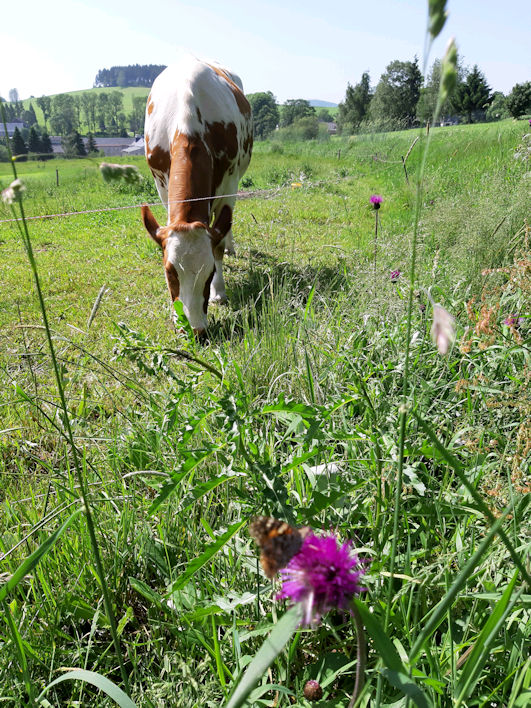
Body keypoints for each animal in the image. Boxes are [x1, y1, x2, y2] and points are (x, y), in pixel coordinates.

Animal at [141, 54, 254, 336]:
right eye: (169, 272)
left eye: (210, 273)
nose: (194, 331)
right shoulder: (161, 184)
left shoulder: (230, 182)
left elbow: (218, 241)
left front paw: (219, 292)